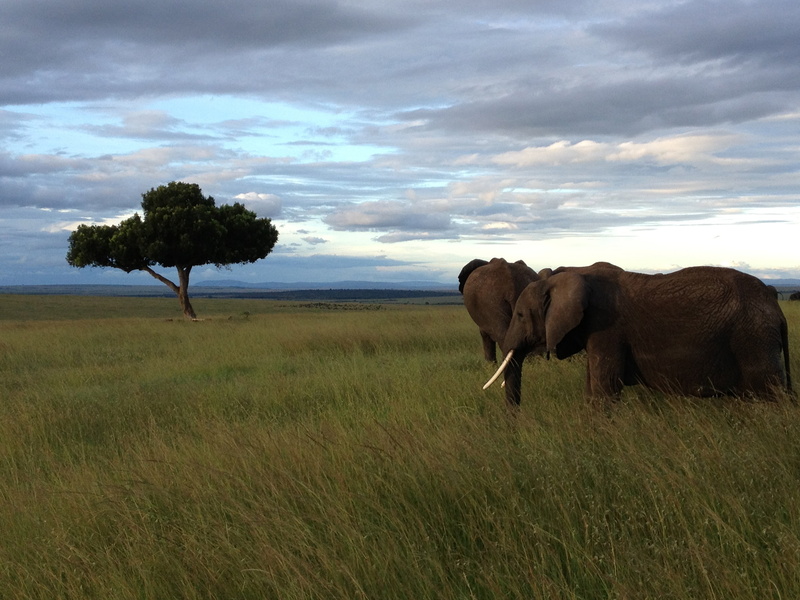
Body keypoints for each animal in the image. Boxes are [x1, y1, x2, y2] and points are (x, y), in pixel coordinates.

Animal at [484, 262, 793, 404]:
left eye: (520, 315)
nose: (514, 424)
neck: (575, 274)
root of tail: (776, 309)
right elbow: (592, 387)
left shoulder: (607, 329)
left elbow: (605, 389)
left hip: (753, 339)